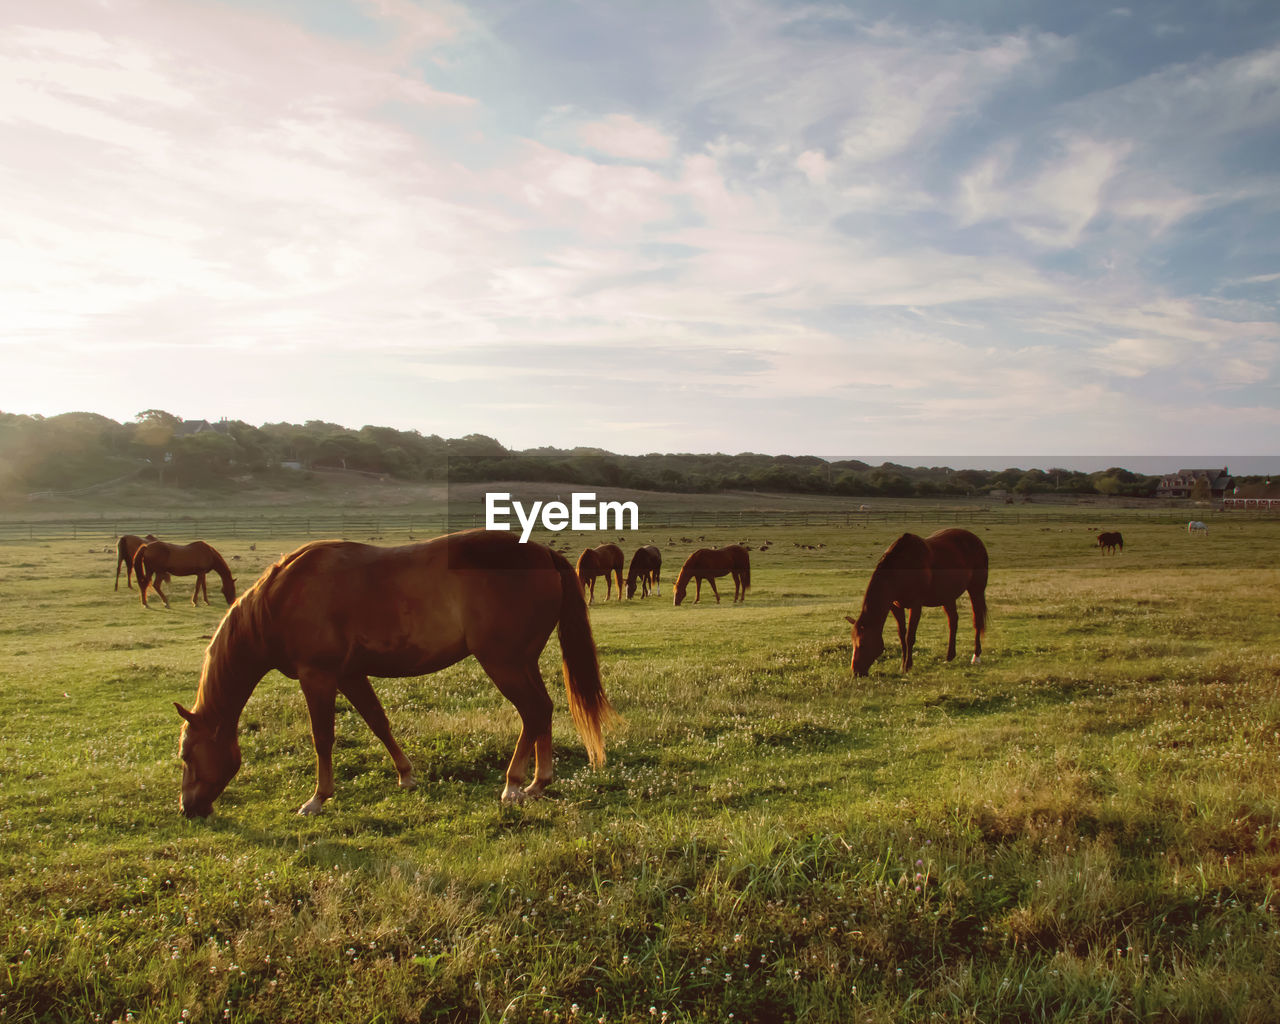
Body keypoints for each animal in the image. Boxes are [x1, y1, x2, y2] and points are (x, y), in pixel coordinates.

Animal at [175, 527, 614, 814]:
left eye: (186, 755)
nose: (188, 808)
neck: (280, 599)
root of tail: (542, 554)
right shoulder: (350, 675)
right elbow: (378, 722)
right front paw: (405, 775)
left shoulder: (317, 677)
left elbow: (323, 738)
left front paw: (318, 798)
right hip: (522, 663)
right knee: (543, 710)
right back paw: (540, 781)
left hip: (503, 663)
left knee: (534, 711)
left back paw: (514, 784)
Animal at [849, 527, 988, 680]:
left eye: (862, 644)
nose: (855, 672)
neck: (900, 569)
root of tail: (975, 539)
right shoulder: (895, 607)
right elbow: (902, 635)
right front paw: (902, 665)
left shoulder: (916, 606)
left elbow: (909, 636)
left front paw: (908, 666)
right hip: (948, 596)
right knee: (953, 621)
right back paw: (949, 656)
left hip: (976, 590)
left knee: (977, 621)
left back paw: (976, 656)